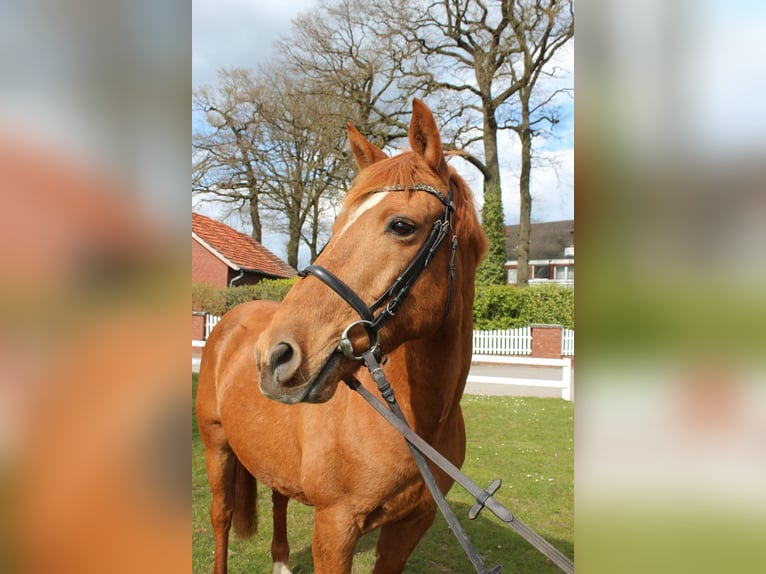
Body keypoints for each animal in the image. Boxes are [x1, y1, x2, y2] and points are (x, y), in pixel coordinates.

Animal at [196, 98, 487, 574]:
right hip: (216, 445)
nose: (274, 355)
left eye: (402, 225)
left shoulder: (409, 527)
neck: (413, 422)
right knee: (221, 516)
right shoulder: (336, 527)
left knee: (278, 499)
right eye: (335, 227)